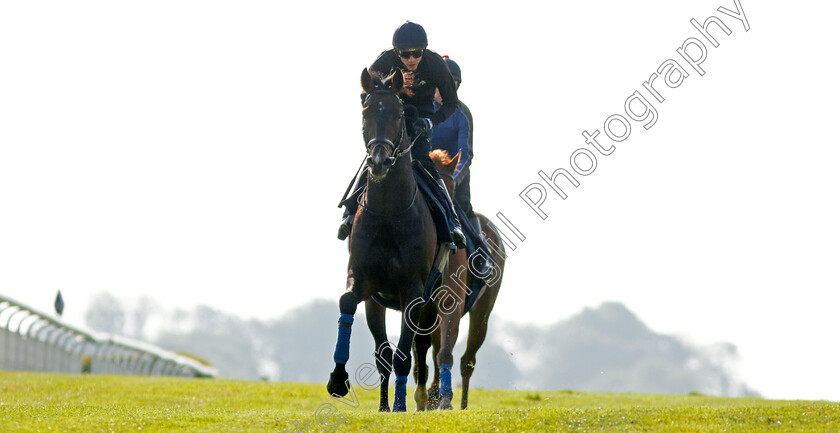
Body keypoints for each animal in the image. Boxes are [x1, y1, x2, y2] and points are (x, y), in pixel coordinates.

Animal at [324, 67, 440, 412]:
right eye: (365, 113)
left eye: (399, 114)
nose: (378, 161)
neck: (389, 211)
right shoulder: (364, 279)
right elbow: (347, 302)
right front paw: (338, 379)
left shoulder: (413, 290)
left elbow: (404, 354)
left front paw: (401, 406)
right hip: (378, 303)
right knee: (384, 353)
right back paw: (385, 404)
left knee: (420, 347)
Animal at [414, 149, 506, 408]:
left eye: (451, 188)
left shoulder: (450, 302)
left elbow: (444, 350)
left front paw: (442, 399)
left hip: (482, 312)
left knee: (467, 360)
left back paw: (461, 404)